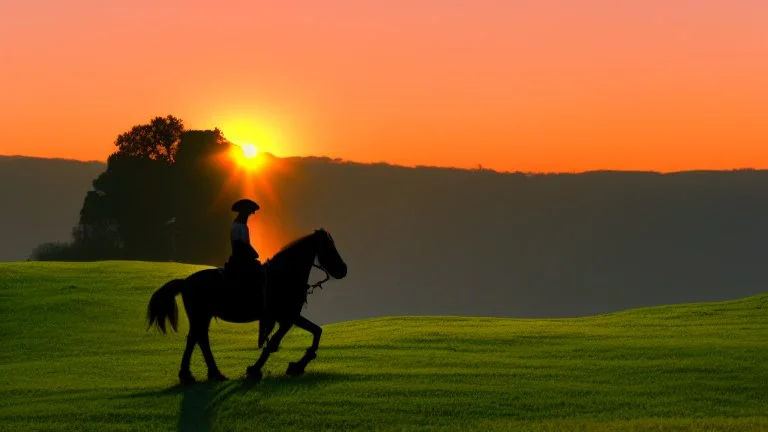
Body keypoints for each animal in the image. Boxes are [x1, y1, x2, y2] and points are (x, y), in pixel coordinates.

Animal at [145, 228, 348, 384]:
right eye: (329, 247)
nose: (343, 270)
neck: (284, 274)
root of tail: (185, 282)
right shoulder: (287, 318)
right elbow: (273, 343)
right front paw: (256, 370)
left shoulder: (291, 317)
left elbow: (317, 332)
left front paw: (298, 365)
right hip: (200, 315)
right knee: (195, 339)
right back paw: (189, 376)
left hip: (204, 316)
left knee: (199, 339)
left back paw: (214, 374)